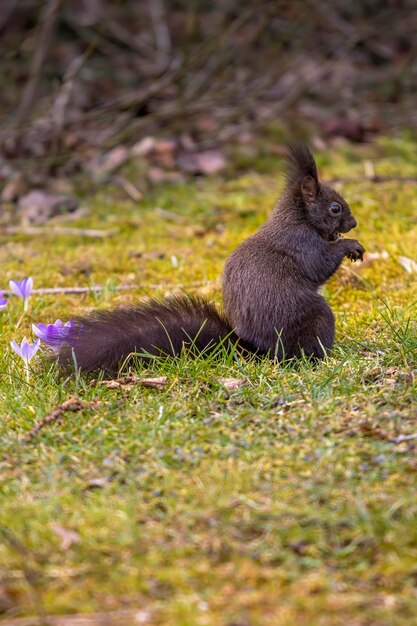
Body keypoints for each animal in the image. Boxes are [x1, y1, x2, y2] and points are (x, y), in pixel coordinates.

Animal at [56, 145, 364, 370]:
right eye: (335, 208)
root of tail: (259, 351)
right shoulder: (301, 244)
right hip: (314, 318)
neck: (299, 218)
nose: (354, 223)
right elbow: (319, 264)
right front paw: (350, 246)